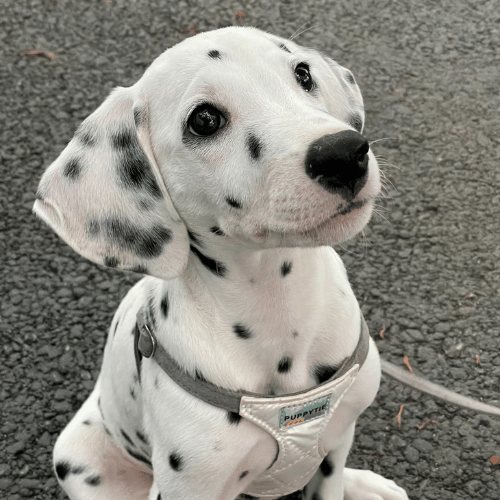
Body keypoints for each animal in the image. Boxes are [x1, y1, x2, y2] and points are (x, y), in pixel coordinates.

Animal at [35, 26, 410, 500]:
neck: (279, 312)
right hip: (77, 457)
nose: (344, 153)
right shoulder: (188, 486)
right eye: (205, 120)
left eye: (303, 74)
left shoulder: (338, 438)